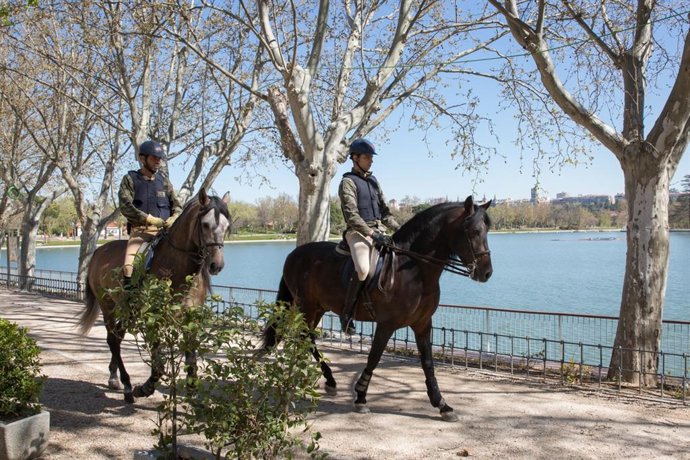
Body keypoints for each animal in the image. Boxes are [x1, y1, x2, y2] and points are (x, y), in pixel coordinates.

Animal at [78, 188, 231, 403]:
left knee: (118, 337)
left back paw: (114, 377)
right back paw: (127, 385)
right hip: (108, 307)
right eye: (205, 224)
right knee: (112, 340)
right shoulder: (154, 318)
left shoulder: (190, 318)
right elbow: (158, 366)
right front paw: (144, 388)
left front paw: (193, 396)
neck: (177, 266)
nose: (216, 265)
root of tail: (99, 251)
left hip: (126, 310)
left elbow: (191, 362)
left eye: (226, 227)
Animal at [263, 195, 492, 421]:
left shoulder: (423, 324)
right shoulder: (386, 324)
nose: (487, 272)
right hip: (307, 306)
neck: (415, 269)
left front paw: (441, 404)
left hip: (317, 308)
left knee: (307, 337)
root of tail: (294, 254)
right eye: (474, 231)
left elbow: (427, 363)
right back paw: (323, 378)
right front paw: (361, 397)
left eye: (486, 230)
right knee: (305, 336)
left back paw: (326, 379)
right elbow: (374, 358)